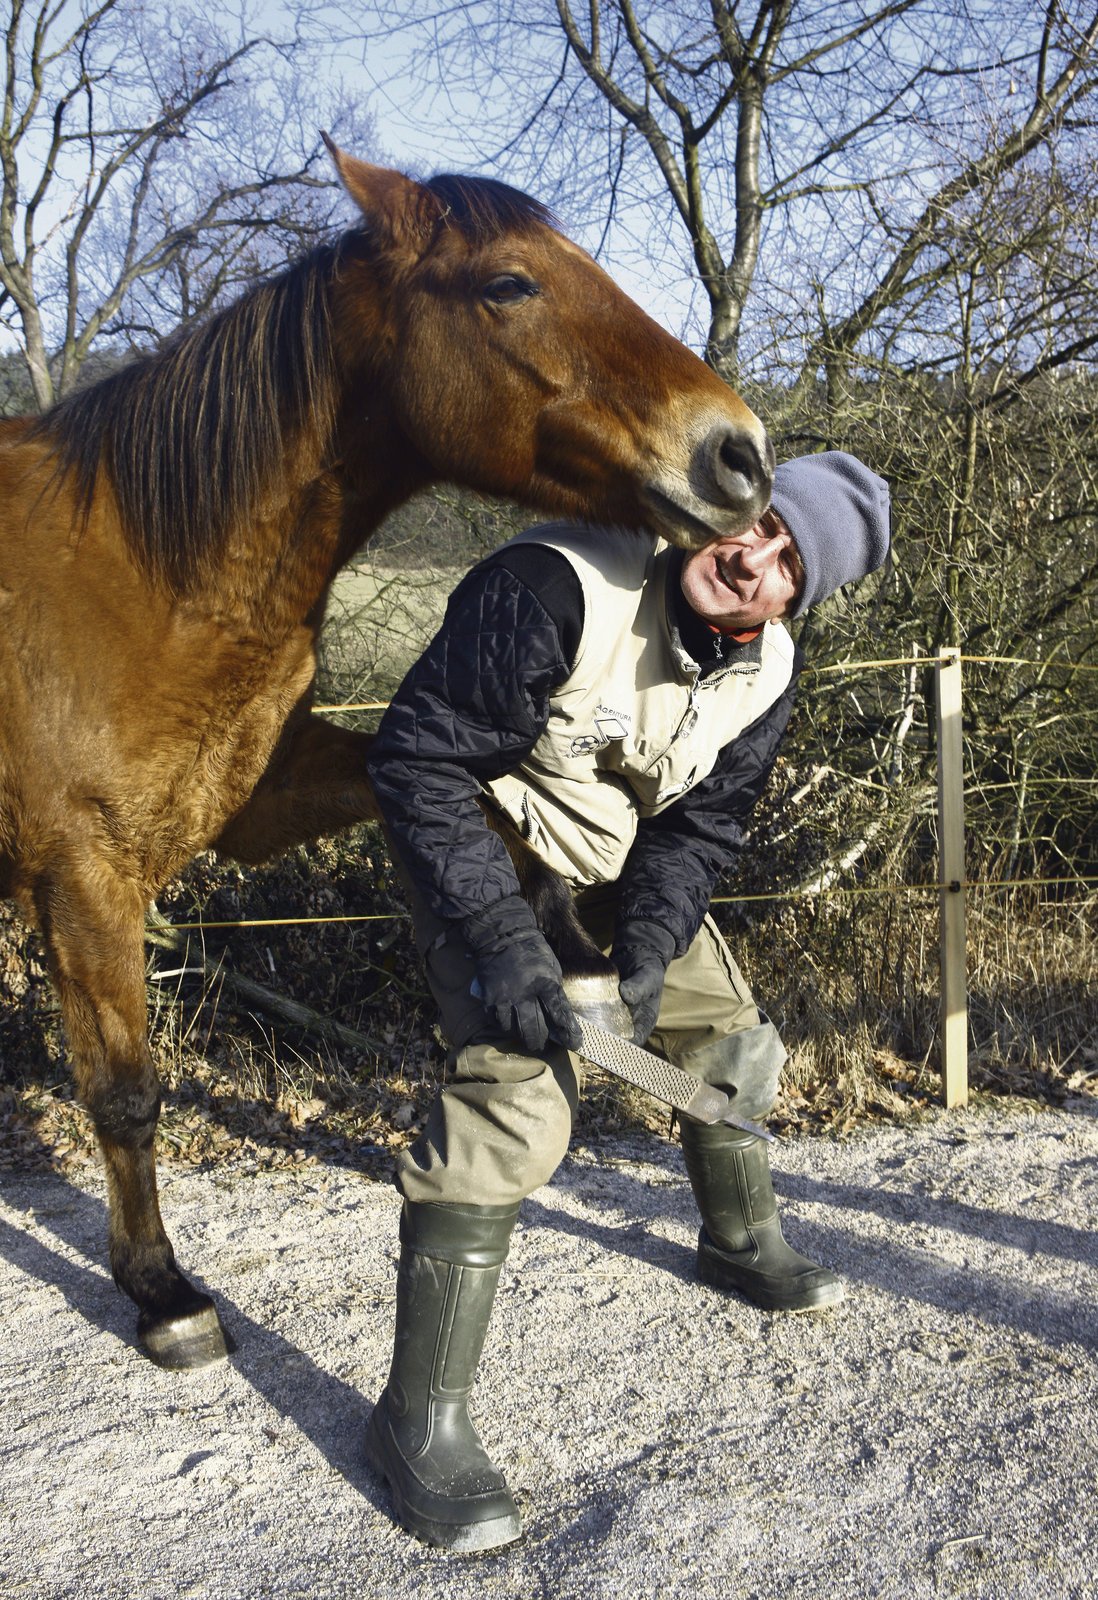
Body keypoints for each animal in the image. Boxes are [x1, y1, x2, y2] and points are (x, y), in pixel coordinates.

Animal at [0, 137, 774, 1369]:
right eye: (508, 283)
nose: (738, 454)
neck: (141, 568)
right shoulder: (82, 877)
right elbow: (123, 1092)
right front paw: (163, 1294)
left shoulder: (263, 797)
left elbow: (474, 799)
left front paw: (563, 944)